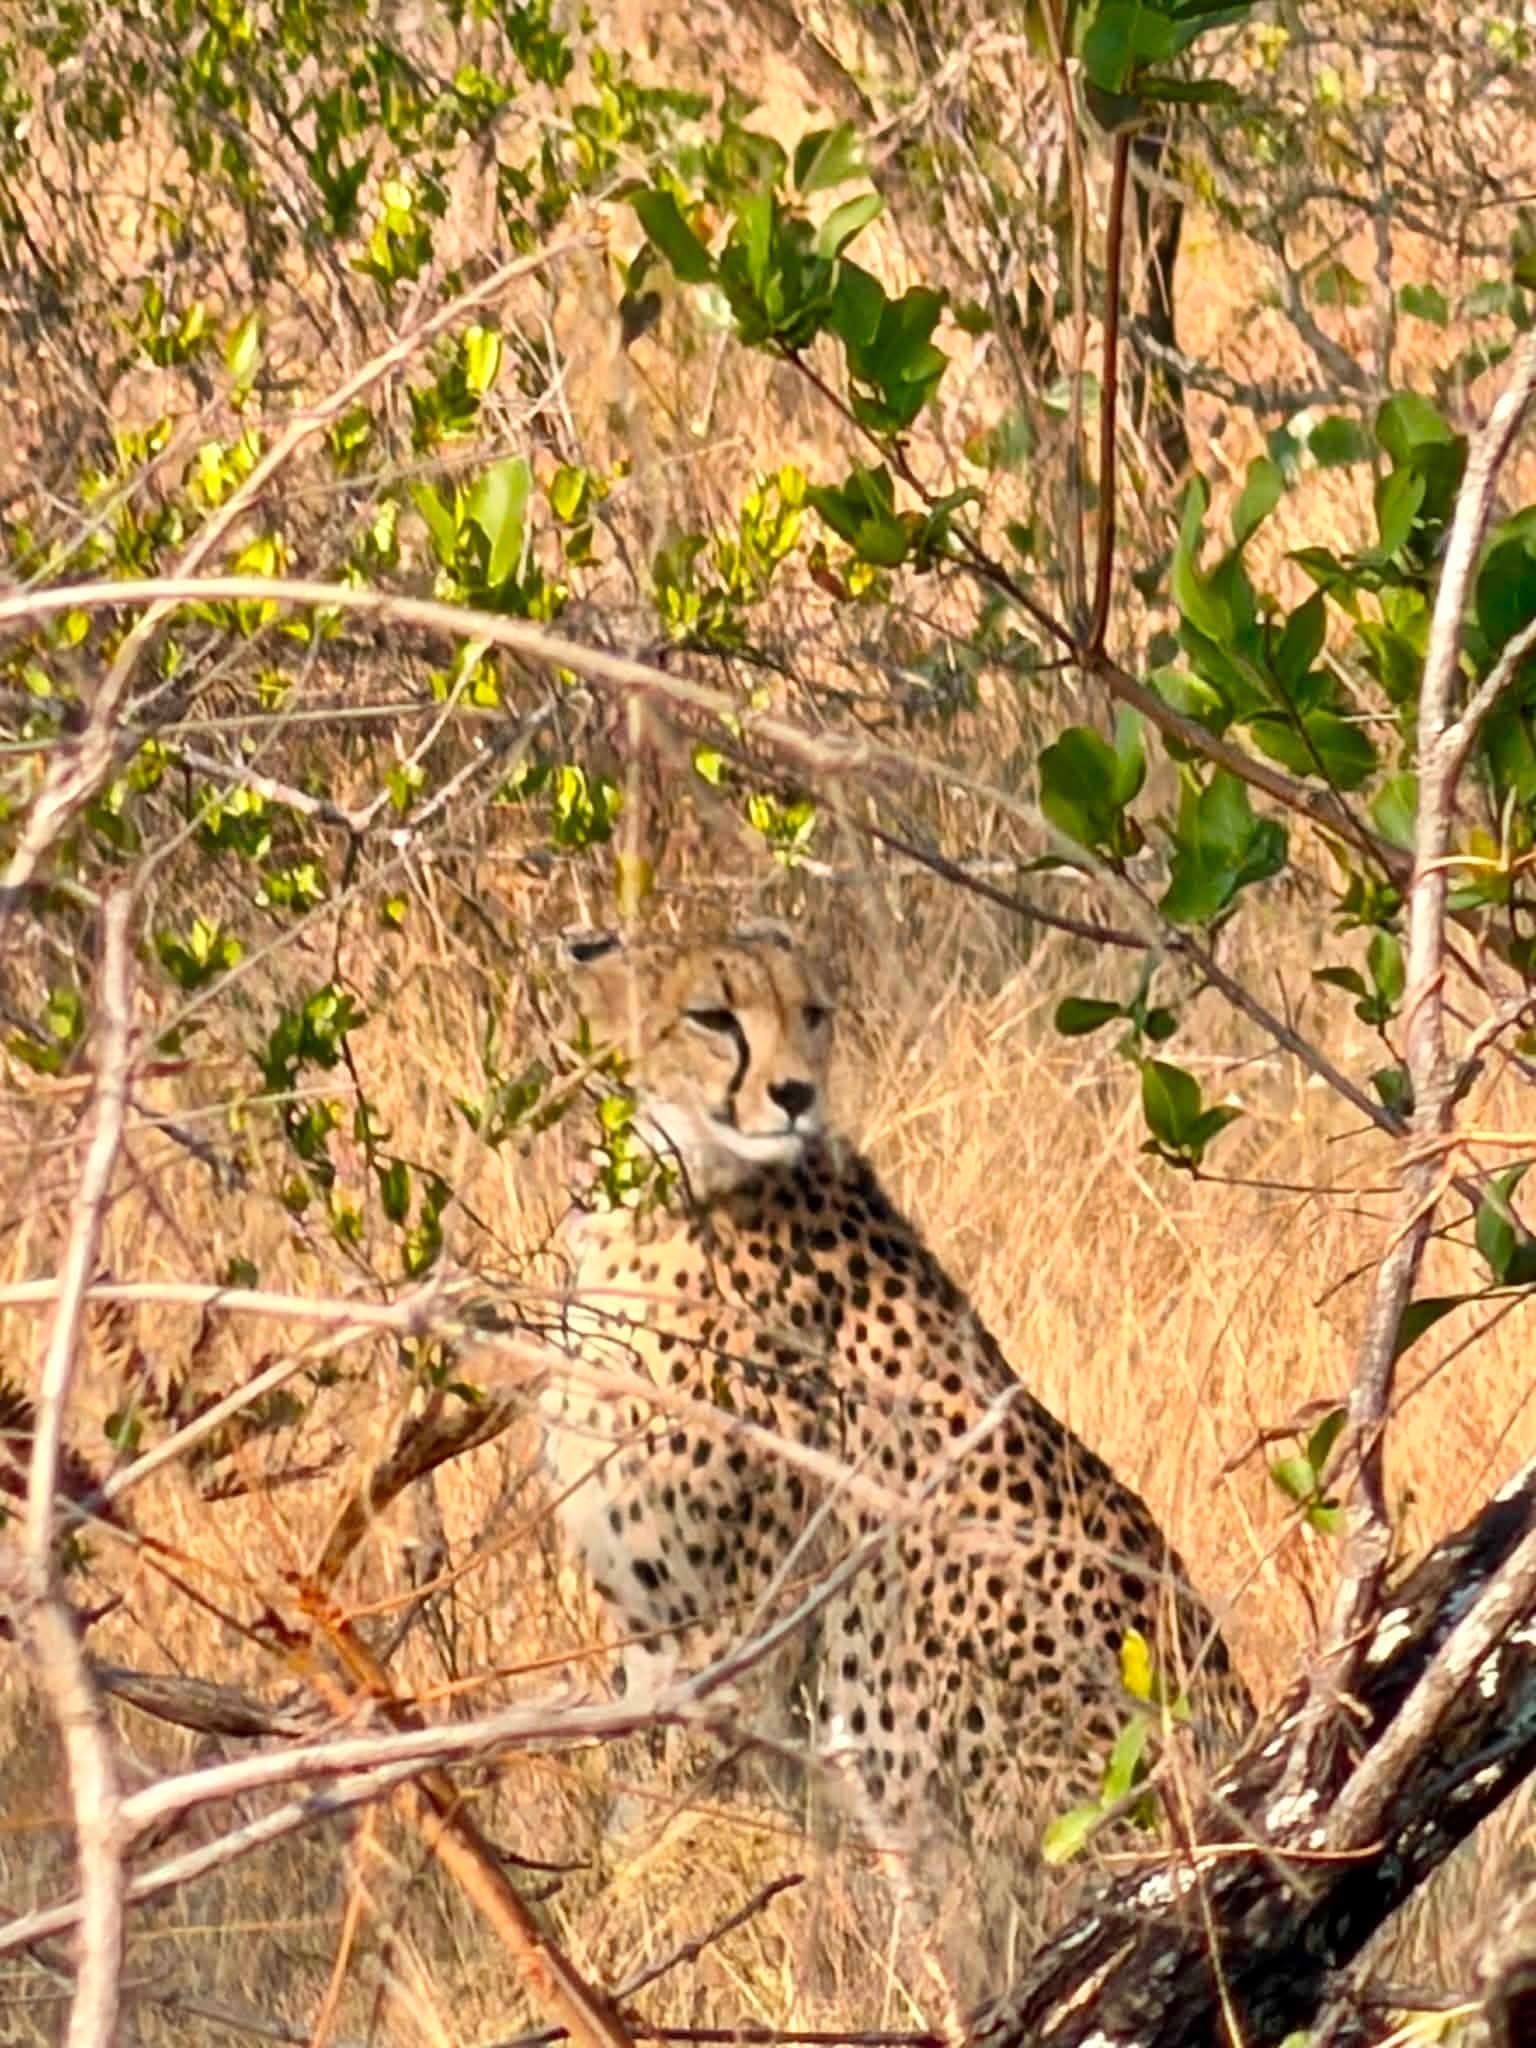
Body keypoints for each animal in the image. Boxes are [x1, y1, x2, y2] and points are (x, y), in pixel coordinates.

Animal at [539, 921, 1254, 2012]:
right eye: (712, 1016)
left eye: (811, 1013)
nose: (795, 1093)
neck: (670, 1186)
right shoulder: (659, 1630)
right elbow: (631, 1811)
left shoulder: (738, 1630)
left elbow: (662, 1826)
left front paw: (604, 1947)